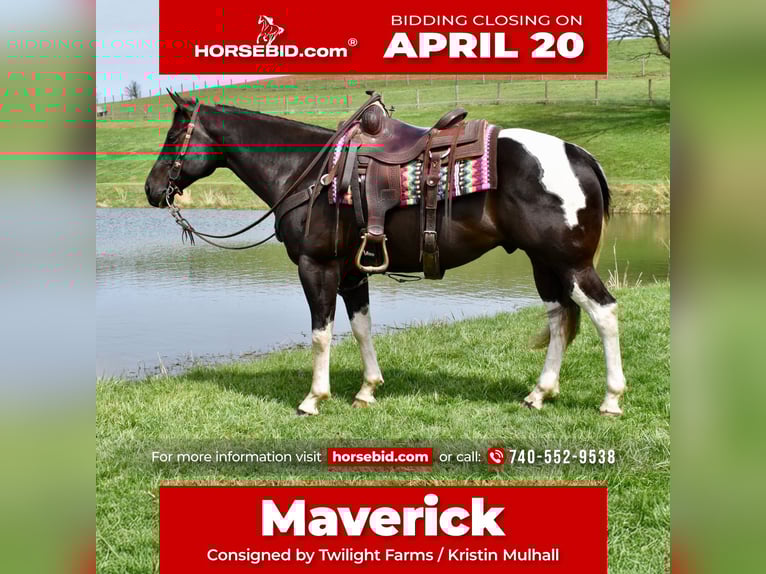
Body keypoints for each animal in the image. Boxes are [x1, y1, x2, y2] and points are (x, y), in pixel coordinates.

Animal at [144, 91, 627, 417]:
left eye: (173, 135)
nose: (151, 189)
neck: (307, 172)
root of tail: (580, 154)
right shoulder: (352, 273)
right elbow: (361, 329)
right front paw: (367, 389)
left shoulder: (317, 267)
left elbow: (320, 333)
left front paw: (313, 398)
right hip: (545, 264)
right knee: (560, 318)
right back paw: (539, 393)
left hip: (570, 263)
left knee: (603, 312)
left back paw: (611, 398)